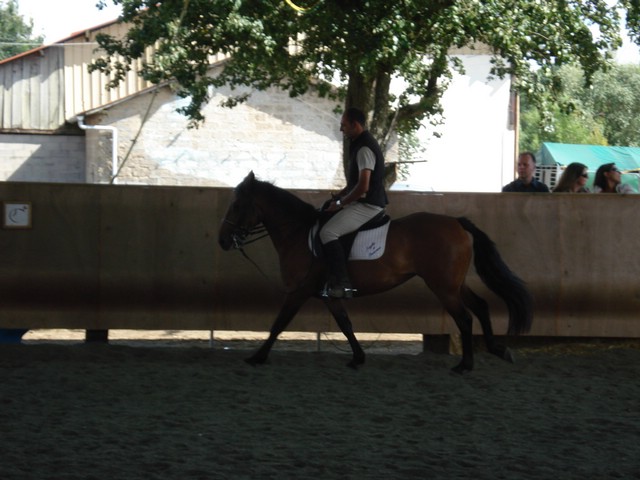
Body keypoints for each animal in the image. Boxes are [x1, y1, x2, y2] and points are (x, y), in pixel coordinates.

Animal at [218, 172, 533, 373]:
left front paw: (257, 357)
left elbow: (278, 323)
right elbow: (346, 324)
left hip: (443, 287)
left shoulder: (299, 291)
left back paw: (465, 365)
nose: (222, 241)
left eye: (237, 205)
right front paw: (358, 358)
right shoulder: (330, 295)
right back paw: (497, 350)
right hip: (453, 284)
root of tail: (455, 222)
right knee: (480, 307)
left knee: (465, 318)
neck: (297, 232)